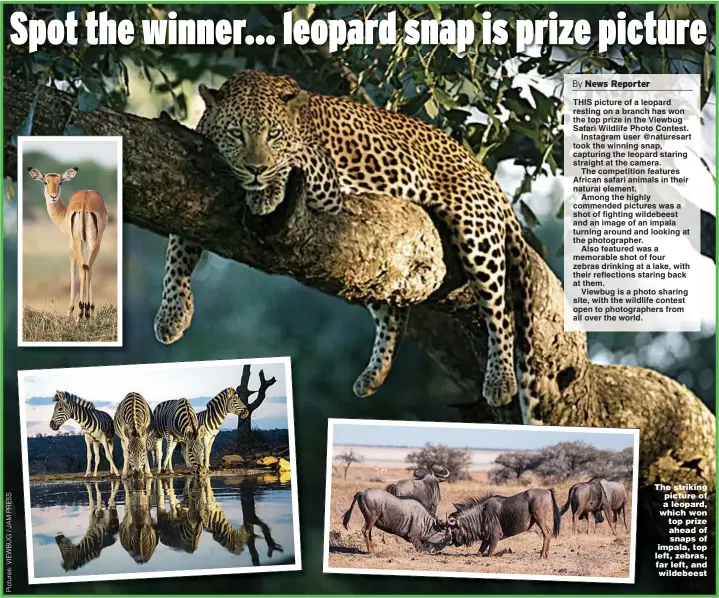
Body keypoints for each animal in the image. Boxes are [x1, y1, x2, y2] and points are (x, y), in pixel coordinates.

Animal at [156, 70, 540, 424]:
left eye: (273, 135)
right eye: (237, 134)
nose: (255, 168)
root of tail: (478, 165)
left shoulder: (325, 179)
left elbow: (292, 161)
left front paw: (267, 189)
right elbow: (176, 253)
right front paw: (172, 314)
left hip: (475, 229)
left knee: (501, 309)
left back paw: (500, 380)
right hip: (380, 260)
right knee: (393, 311)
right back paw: (373, 376)